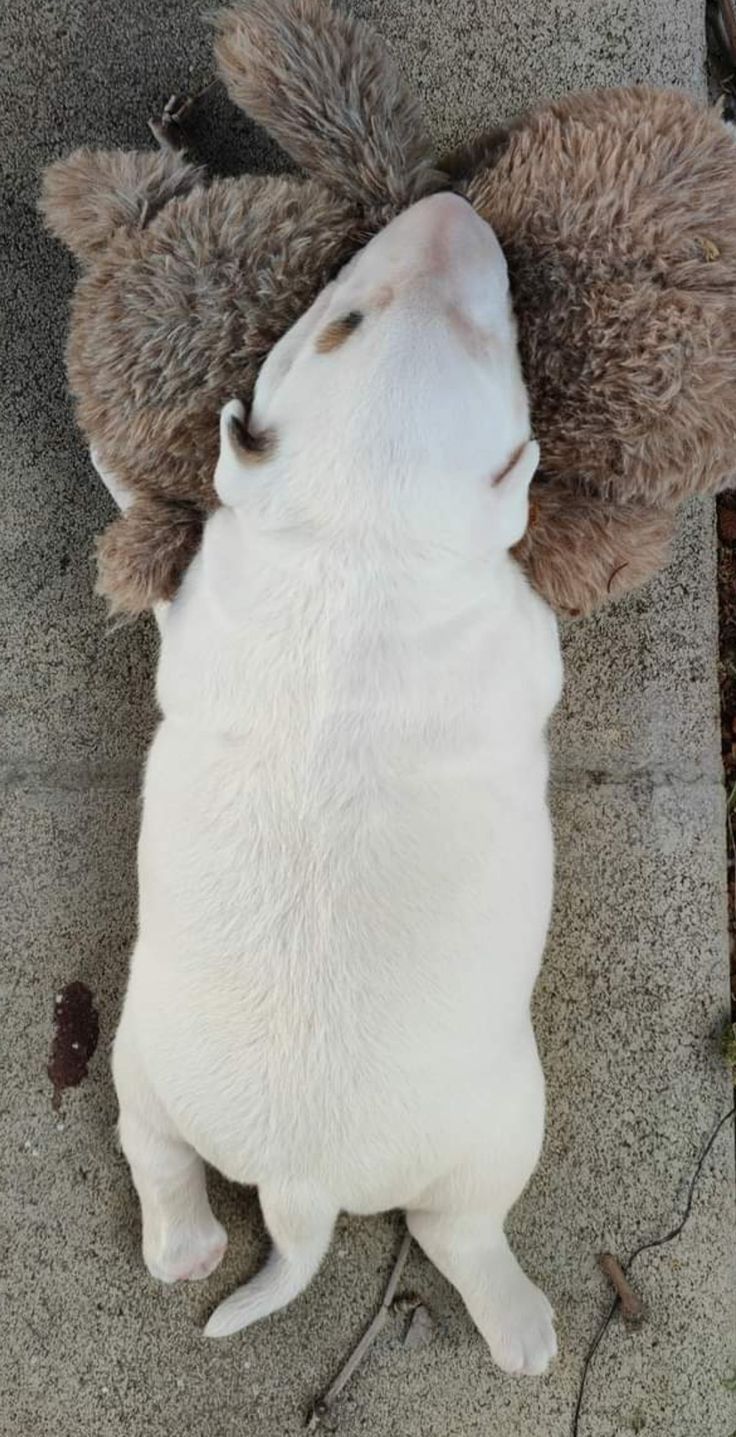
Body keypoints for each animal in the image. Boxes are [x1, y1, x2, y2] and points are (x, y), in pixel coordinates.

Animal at [112, 196, 563, 1373]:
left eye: (486, 338)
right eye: (343, 319)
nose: (449, 207)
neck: (364, 534)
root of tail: (303, 1187)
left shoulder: (215, 582)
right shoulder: (524, 627)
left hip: (144, 1062)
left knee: (158, 1160)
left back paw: (185, 1246)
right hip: (502, 1123)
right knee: (461, 1227)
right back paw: (520, 1326)